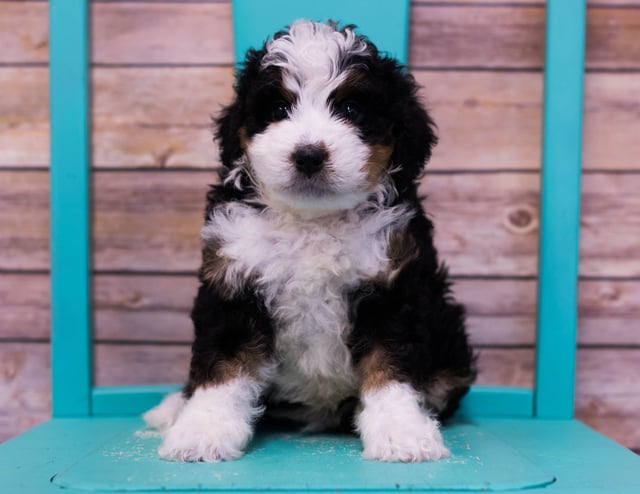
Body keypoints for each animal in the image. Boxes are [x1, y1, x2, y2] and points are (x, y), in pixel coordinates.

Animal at [145, 19, 476, 464]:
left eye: (351, 110)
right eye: (278, 110)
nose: (308, 155)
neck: (312, 220)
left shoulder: (392, 286)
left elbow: (391, 365)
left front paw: (402, 432)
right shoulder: (233, 281)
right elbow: (225, 364)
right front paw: (202, 430)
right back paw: (173, 408)